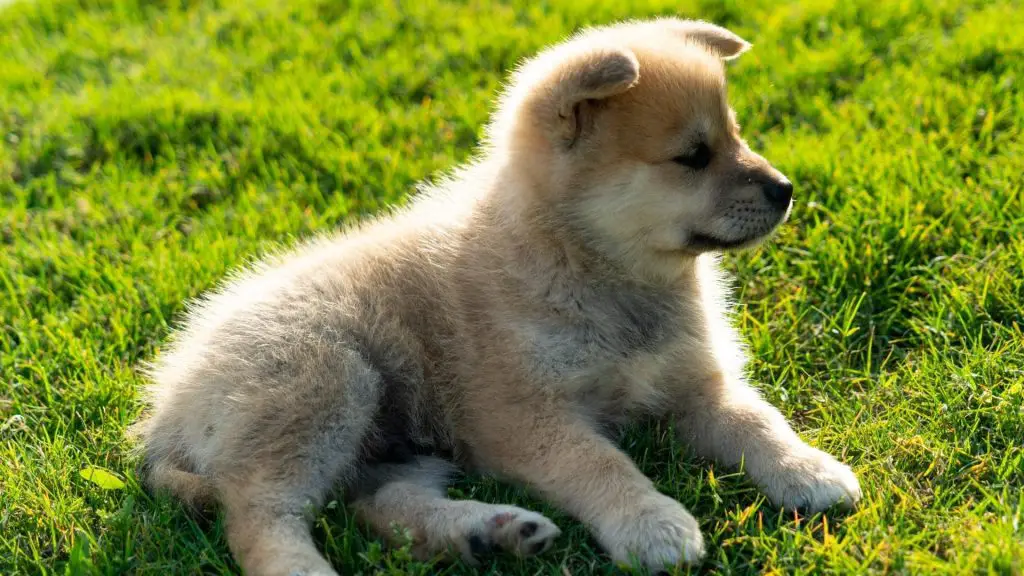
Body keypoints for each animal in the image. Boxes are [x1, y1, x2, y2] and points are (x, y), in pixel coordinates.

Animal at [132, 17, 860, 573]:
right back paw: (313, 566)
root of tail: (168, 406)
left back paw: (493, 532)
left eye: (736, 135)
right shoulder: (522, 414)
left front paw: (808, 470)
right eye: (693, 156)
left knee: (383, 507)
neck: (597, 272)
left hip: (395, 447)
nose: (785, 190)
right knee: (259, 514)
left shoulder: (694, 383)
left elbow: (757, 420)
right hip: (323, 380)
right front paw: (651, 523)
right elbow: (600, 462)